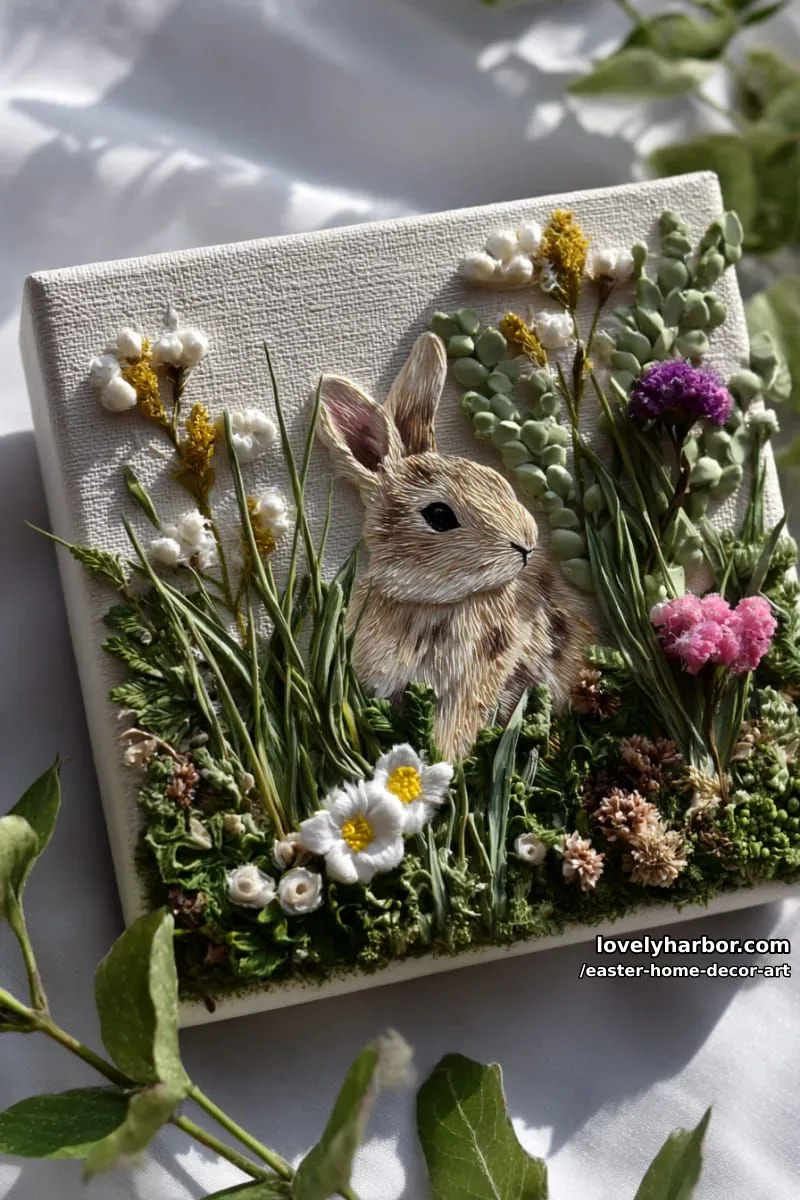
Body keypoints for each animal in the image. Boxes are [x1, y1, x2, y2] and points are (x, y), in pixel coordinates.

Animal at [317, 331, 594, 761]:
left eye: (496, 479)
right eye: (439, 515)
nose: (526, 544)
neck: (429, 601)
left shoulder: (474, 680)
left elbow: (454, 727)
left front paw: (444, 763)